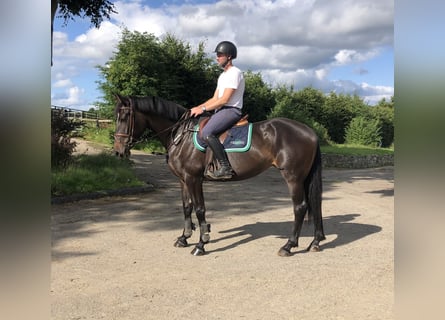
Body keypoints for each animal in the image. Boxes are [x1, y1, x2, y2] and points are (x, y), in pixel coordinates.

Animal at [112, 94, 324, 256]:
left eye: (125, 116)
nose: (118, 151)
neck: (182, 136)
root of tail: (310, 131)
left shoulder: (193, 179)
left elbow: (200, 209)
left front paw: (201, 243)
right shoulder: (183, 180)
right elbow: (187, 207)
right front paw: (184, 238)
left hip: (293, 177)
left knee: (300, 207)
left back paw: (288, 246)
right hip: (303, 177)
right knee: (315, 204)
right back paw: (315, 242)